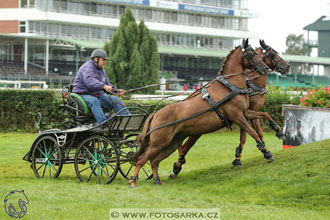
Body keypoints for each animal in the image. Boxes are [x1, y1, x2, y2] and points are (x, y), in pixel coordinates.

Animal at [130, 38, 272, 187]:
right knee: (141, 159)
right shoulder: (237, 116)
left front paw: (276, 130)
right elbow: (253, 132)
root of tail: (155, 114)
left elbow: (265, 116)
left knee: (154, 160)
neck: (229, 87)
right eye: (251, 54)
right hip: (159, 143)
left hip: (171, 143)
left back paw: (157, 179)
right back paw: (133, 180)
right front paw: (265, 151)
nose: (265, 68)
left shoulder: (245, 113)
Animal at [170, 40, 292, 180]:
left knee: (185, 147)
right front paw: (239, 158)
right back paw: (177, 166)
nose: (287, 66)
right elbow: (246, 136)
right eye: (272, 54)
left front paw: (274, 135)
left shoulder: (249, 113)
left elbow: (261, 126)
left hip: (197, 130)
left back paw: (177, 167)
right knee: (184, 147)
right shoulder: (241, 115)